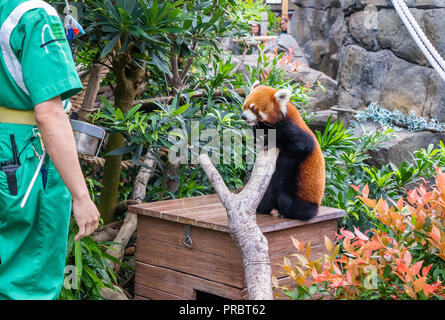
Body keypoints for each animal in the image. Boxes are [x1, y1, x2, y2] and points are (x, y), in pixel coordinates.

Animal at [241, 82, 324, 220]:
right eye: (244, 105)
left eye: (253, 109)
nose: (243, 117)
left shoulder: (292, 128)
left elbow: (302, 145)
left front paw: (270, 140)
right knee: (269, 193)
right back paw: (261, 208)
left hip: (301, 195)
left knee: (286, 200)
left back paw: (284, 212)